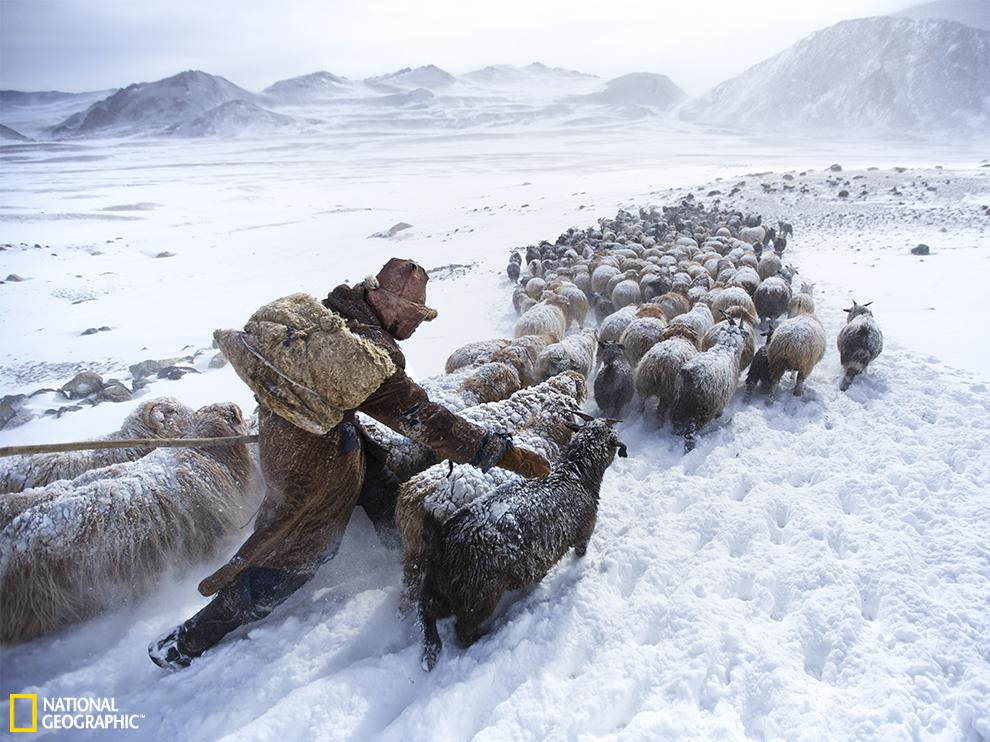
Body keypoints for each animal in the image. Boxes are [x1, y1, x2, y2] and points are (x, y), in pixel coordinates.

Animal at [420, 418, 628, 676]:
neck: (575, 474)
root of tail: (445, 541)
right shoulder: (584, 532)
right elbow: (581, 551)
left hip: (442, 586)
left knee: (427, 609)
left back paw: (431, 648)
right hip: (477, 595)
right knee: (462, 628)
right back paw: (482, 636)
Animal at [672, 316, 748, 450]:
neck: (726, 346)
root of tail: (689, 375)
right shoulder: (720, 403)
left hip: (679, 402)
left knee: (676, 423)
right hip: (702, 409)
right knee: (691, 432)